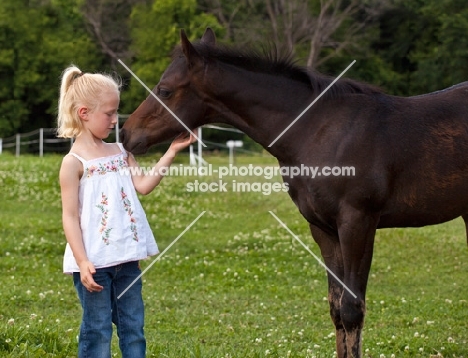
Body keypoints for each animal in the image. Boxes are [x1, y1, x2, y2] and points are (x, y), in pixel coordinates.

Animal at [119, 28, 468, 358]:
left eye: (165, 89)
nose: (126, 133)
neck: (318, 131)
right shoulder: (324, 229)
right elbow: (336, 309)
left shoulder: (358, 223)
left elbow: (352, 309)